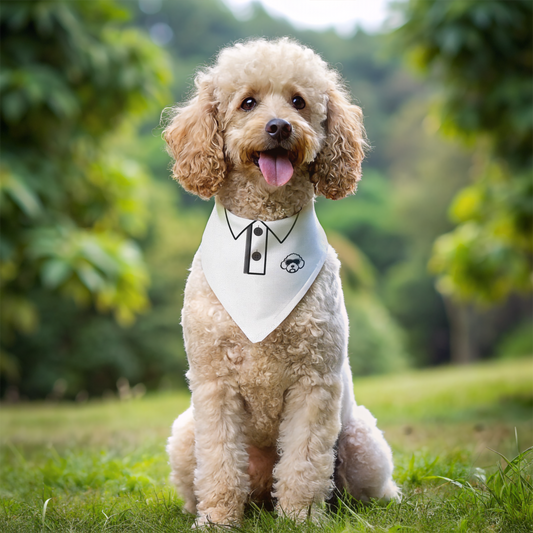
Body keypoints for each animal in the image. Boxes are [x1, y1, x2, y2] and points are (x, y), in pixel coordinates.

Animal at [164, 37, 396, 524]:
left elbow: (305, 462)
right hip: (184, 435)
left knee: (368, 487)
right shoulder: (214, 385)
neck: (263, 228)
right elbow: (218, 461)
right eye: (247, 102)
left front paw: (301, 517)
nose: (279, 126)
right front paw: (217, 520)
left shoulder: (314, 382)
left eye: (299, 102)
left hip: (362, 442)